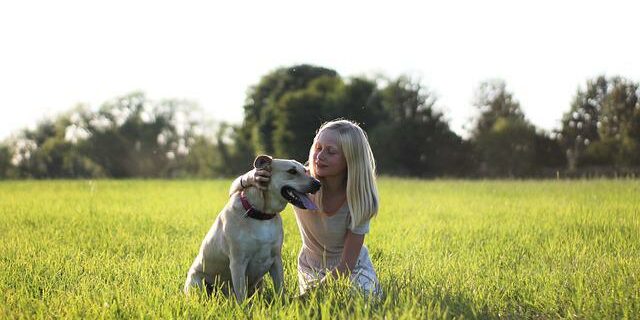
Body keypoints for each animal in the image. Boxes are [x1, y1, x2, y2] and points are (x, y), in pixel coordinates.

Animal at [184, 154, 320, 300]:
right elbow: (241, 295)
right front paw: (244, 307)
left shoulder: (276, 259)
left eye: (305, 171)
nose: (318, 184)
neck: (262, 214)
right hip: (197, 283)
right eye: (292, 171)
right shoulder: (238, 263)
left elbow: (280, 289)